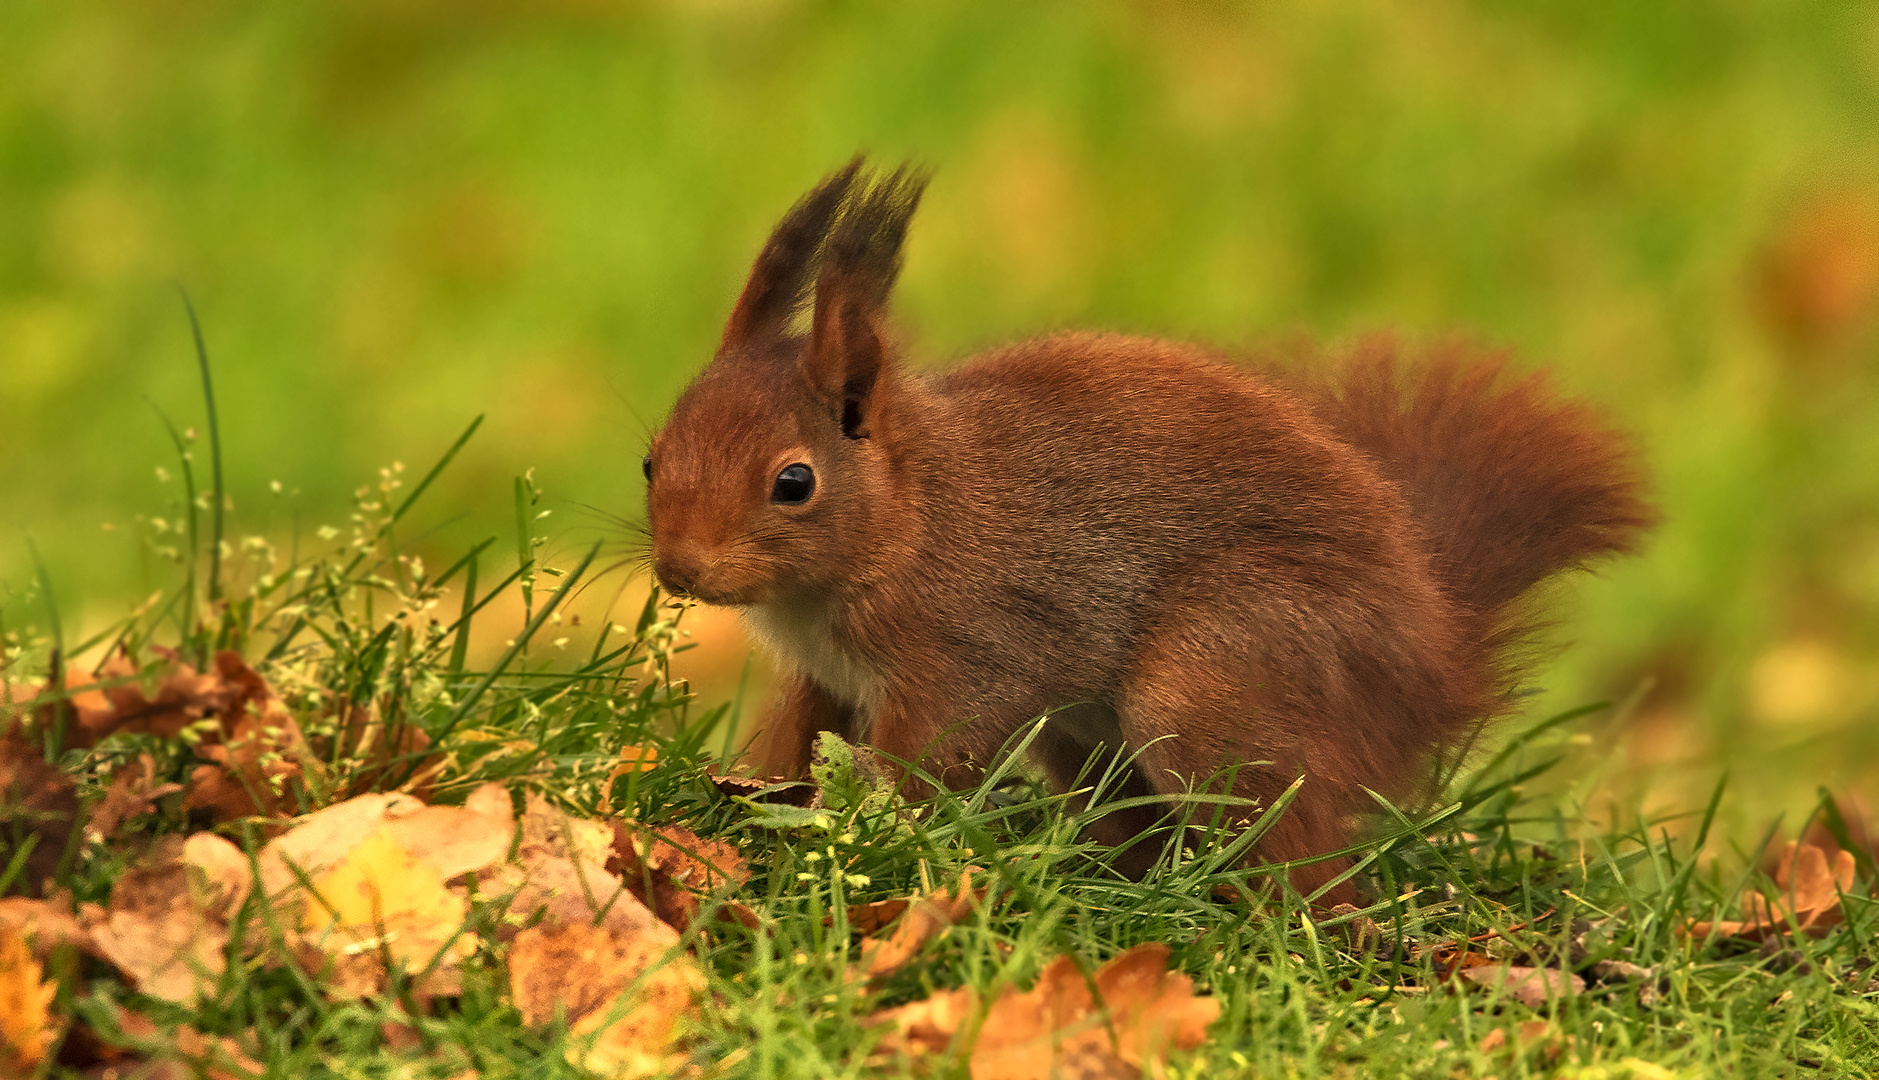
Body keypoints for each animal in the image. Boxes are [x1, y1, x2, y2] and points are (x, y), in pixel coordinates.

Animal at [642, 158, 1646, 894]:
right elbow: (794, 742)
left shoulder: (969, 653)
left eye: (794, 482)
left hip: (1221, 675)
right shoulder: (824, 679)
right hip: (1095, 739)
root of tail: (1433, 671)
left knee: (1302, 857)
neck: (905, 519)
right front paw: (750, 799)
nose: (680, 570)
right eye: (651, 459)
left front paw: (873, 833)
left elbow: (926, 758)